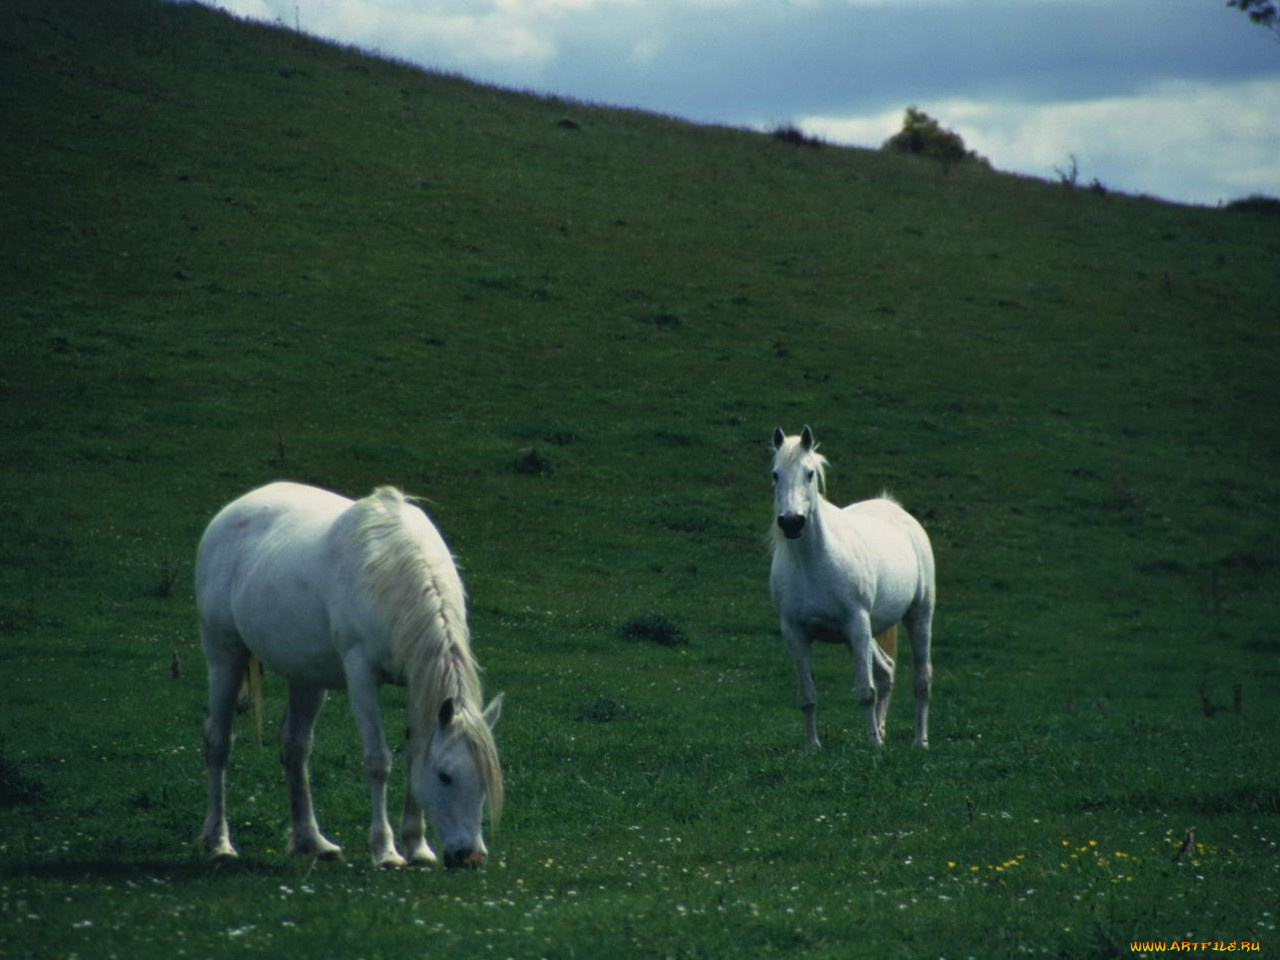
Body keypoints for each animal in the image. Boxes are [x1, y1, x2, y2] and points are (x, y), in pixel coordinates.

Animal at [194, 483, 504, 870]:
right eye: (445, 776)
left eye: (486, 780)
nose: (470, 856)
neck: (395, 567)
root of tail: (230, 513)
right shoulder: (361, 672)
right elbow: (378, 761)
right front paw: (386, 850)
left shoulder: (418, 681)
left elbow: (415, 752)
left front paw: (417, 845)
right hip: (224, 654)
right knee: (218, 741)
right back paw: (219, 842)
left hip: (306, 676)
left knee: (295, 747)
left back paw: (311, 841)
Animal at [762, 427, 936, 752]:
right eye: (775, 474)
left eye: (809, 474)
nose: (791, 522)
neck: (813, 561)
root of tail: (896, 511)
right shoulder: (795, 634)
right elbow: (807, 696)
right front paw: (813, 747)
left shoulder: (857, 624)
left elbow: (865, 692)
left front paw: (873, 746)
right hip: (860, 636)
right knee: (886, 671)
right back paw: (882, 729)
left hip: (917, 617)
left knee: (921, 681)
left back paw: (919, 741)